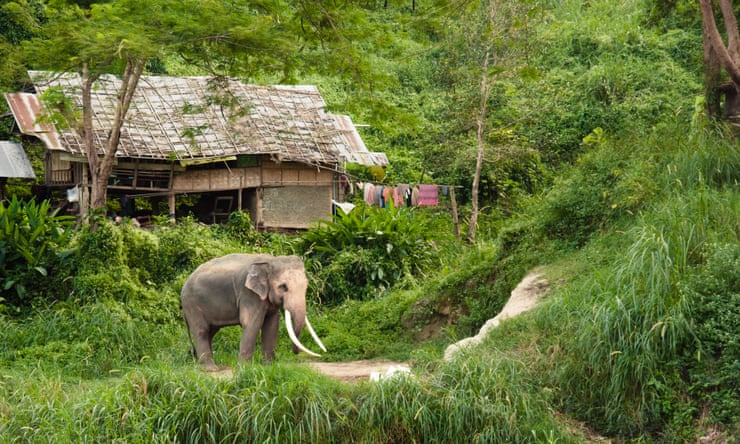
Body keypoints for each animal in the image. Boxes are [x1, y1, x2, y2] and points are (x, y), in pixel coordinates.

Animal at [181, 253, 326, 369]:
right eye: (283, 287)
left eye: (306, 285)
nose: (295, 353)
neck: (270, 260)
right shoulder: (249, 294)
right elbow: (252, 324)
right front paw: (244, 368)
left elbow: (271, 326)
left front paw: (269, 367)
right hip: (191, 304)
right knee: (202, 331)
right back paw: (211, 369)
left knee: (211, 332)